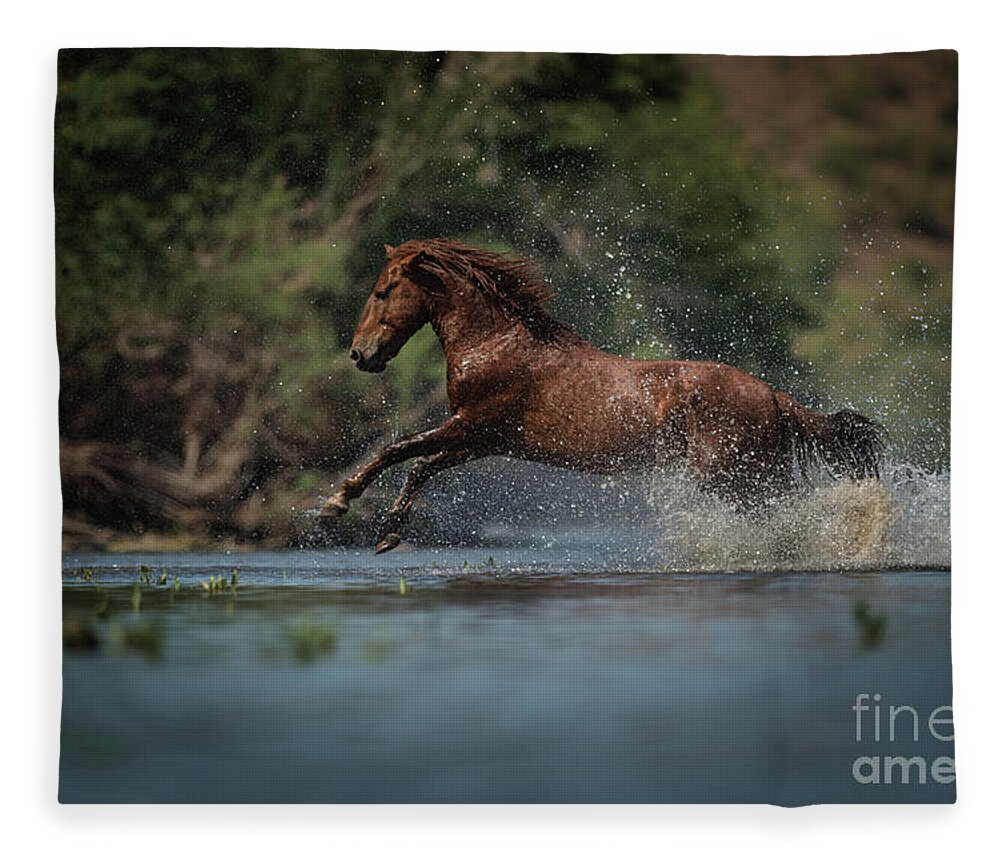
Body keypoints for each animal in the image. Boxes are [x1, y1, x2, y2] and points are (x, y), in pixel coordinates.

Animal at [322, 239, 884, 556]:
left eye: (382, 291)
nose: (359, 354)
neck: (497, 344)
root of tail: (773, 394)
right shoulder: (485, 439)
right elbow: (420, 467)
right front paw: (388, 530)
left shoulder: (470, 423)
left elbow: (396, 450)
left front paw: (337, 502)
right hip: (750, 474)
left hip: (735, 477)